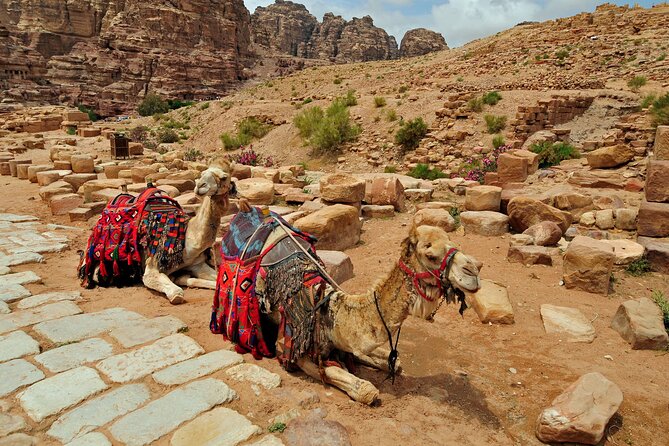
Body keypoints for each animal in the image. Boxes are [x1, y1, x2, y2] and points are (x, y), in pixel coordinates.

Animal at [79, 158, 233, 304]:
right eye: (202, 173)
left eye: (224, 177)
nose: (200, 186)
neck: (185, 241)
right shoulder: (152, 265)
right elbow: (176, 293)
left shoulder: (197, 264)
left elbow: (216, 278)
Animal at [215, 216, 481, 405]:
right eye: (430, 254)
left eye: (453, 243)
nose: (474, 270)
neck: (329, 309)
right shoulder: (290, 347)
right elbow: (365, 389)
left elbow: (392, 362)